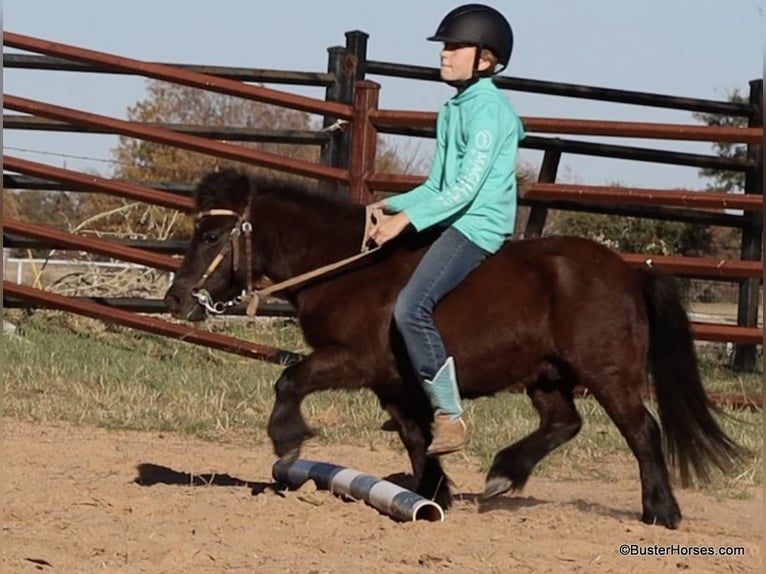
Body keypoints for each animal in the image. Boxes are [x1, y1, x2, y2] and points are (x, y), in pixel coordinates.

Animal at [164, 168, 742, 529]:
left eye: (211, 235)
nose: (176, 298)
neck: (348, 270)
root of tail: (630, 273)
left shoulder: (354, 361)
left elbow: (289, 381)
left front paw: (287, 441)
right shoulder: (392, 384)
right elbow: (418, 438)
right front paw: (430, 495)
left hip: (607, 373)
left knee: (643, 431)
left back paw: (661, 511)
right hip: (545, 375)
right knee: (564, 423)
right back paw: (504, 475)